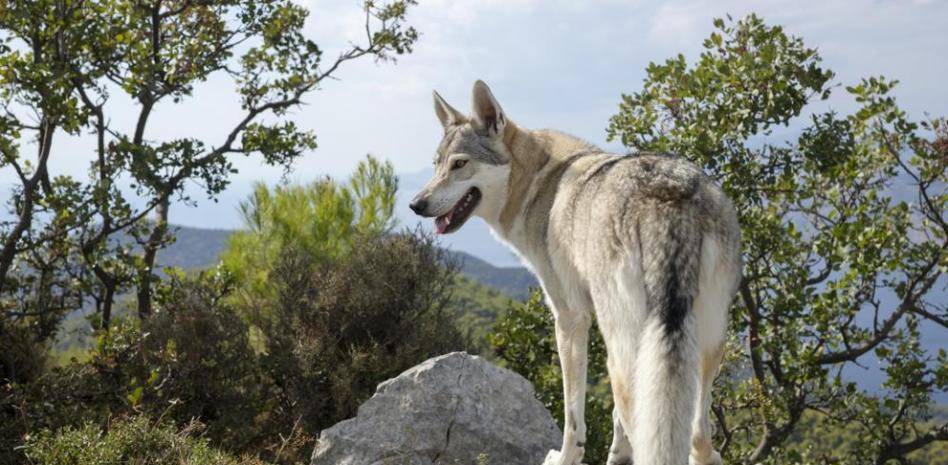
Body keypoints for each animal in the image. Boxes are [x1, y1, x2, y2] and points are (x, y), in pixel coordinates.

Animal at [412, 80, 744, 464]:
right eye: (436, 165)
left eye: (460, 164)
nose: (415, 204)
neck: (538, 183)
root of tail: (668, 197)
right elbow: (615, 419)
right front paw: (616, 454)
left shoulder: (570, 318)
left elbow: (573, 414)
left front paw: (565, 457)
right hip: (706, 344)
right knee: (697, 438)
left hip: (626, 353)